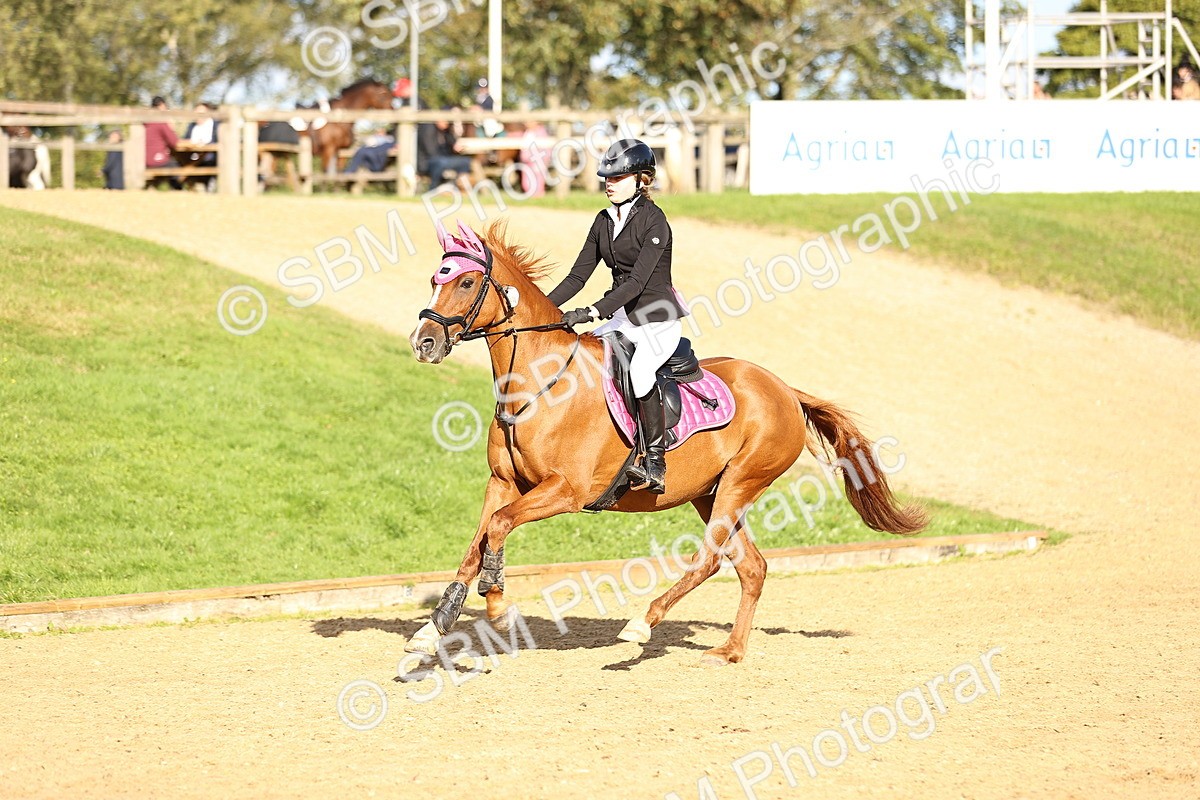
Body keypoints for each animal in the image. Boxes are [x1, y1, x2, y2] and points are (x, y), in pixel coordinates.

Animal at [405, 220, 927, 666]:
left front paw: (496, 606)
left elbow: (497, 528)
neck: (539, 384)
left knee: (710, 559)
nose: (422, 342)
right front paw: (433, 628)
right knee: (752, 566)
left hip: (741, 481)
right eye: (434, 279)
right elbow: (477, 543)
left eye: (466, 284)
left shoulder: (565, 491)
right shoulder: (503, 482)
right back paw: (730, 651)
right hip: (709, 492)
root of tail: (784, 389)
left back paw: (642, 623)